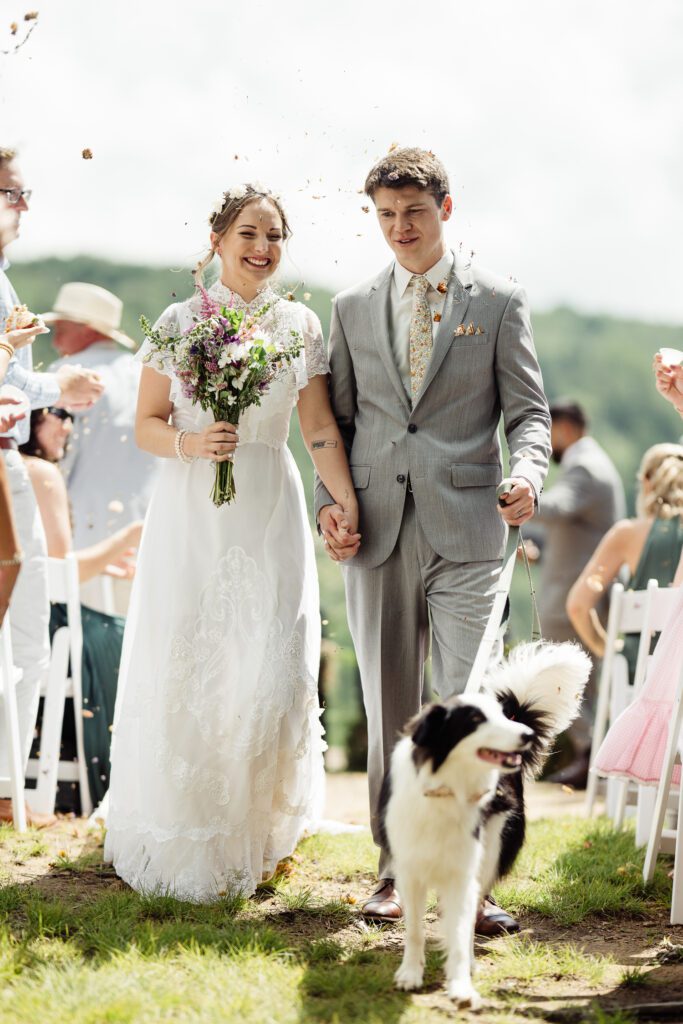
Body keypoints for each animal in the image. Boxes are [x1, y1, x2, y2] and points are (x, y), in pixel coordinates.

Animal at [381, 641, 592, 1007]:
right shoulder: (410, 869)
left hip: (492, 849)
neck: (448, 789)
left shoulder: (464, 869)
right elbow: (415, 929)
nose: (526, 735)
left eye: (498, 716)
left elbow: (459, 928)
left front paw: (461, 985)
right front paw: (410, 974)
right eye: (476, 720)